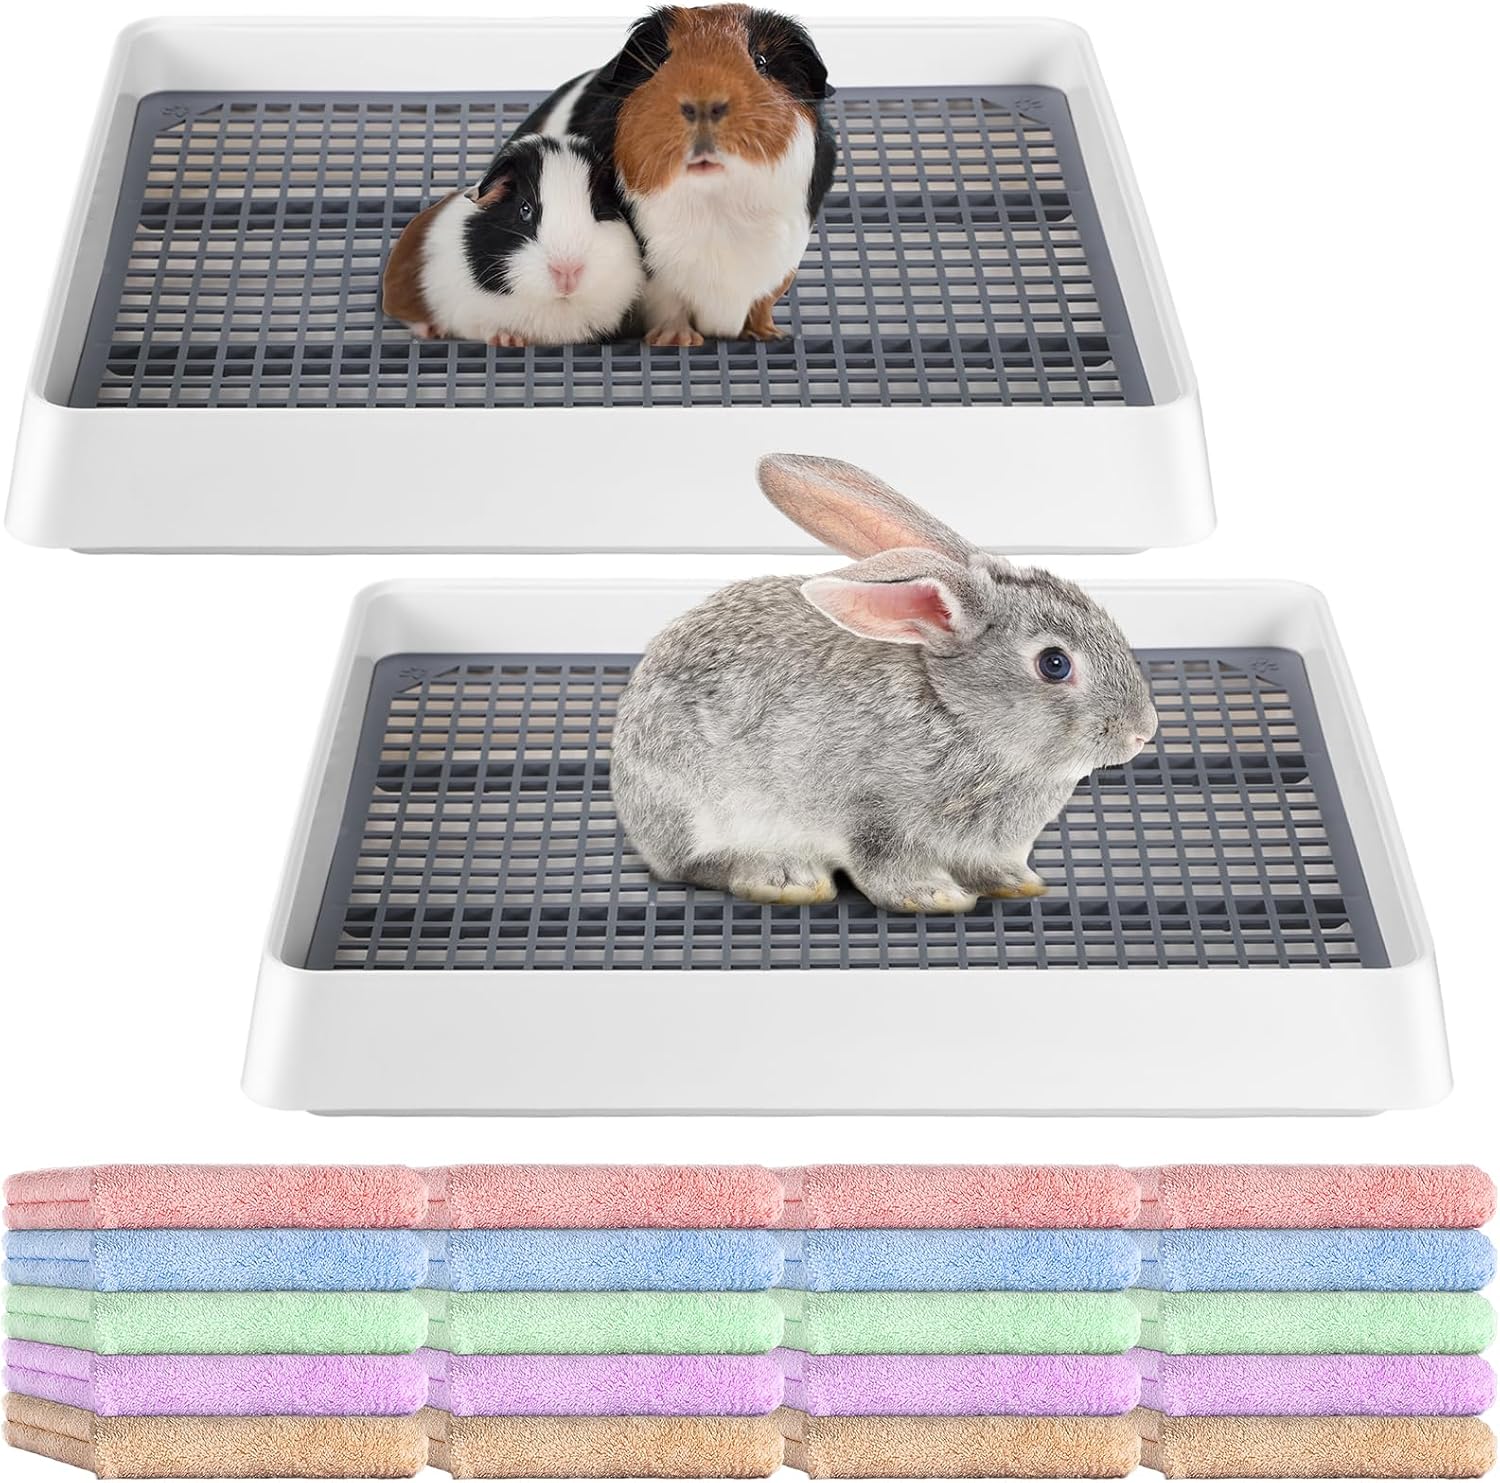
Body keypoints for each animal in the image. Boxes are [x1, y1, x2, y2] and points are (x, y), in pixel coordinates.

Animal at [520, 5, 837, 346]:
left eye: (761, 61)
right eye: (662, 59)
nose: (703, 103)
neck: (716, 203)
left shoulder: (783, 262)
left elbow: (763, 302)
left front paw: (771, 335)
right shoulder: (657, 275)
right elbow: (670, 305)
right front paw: (676, 341)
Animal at [610, 454, 1160, 914]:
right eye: (1054, 664)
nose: (1143, 731)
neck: (956, 713)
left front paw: (1017, 884)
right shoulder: (876, 815)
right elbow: (885, 863)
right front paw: (933, 897)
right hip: (698, 802)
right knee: (699, 864)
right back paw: (785, 878)